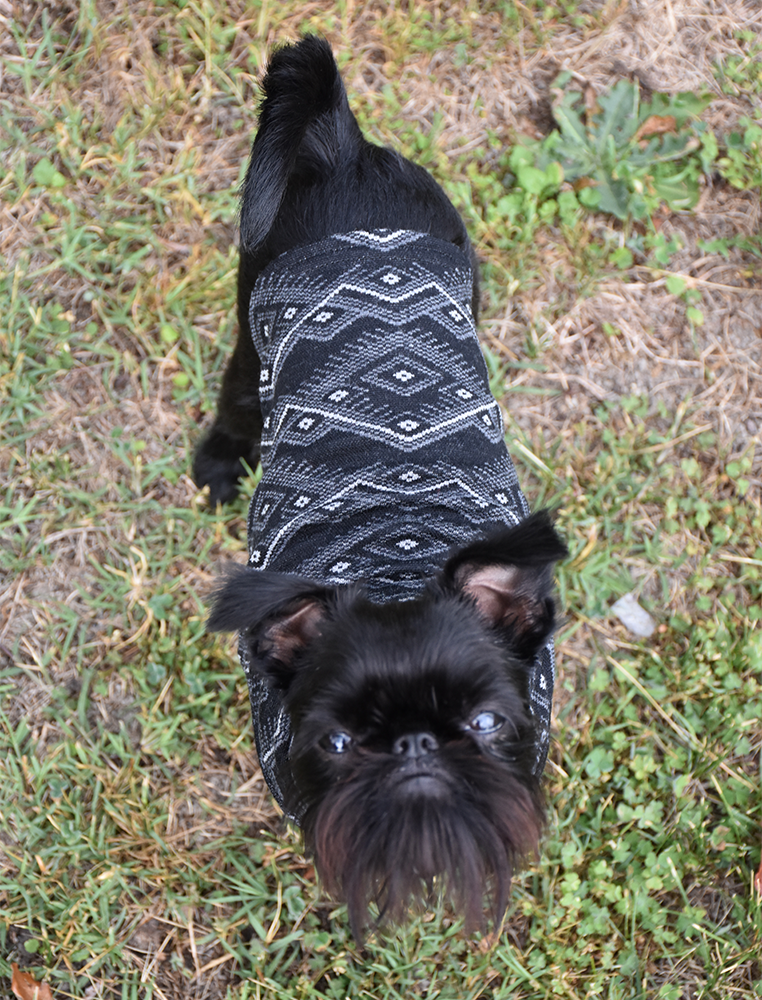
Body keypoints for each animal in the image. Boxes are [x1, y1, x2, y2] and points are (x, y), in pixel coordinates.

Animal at [196, 33, 564, 936]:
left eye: (487, 723)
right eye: (333, 743)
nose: (415, 747)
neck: (394, 567)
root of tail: (344, 148)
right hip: (251, 332)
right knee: (235, 396)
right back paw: (218, 463)